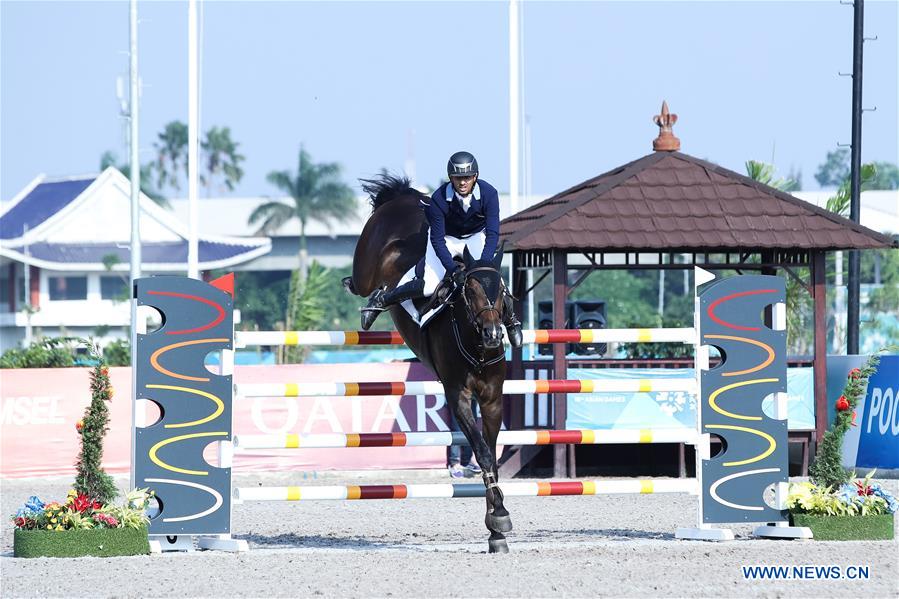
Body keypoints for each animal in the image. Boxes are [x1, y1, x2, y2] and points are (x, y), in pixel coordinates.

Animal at [344, 173, 512, 552]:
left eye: (501, 291)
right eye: (470, 291)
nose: (494, 334)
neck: (475, 340)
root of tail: (403, 196)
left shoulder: (492, 398)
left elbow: (490, 453)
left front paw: (495, 529)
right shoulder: (458, 396)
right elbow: (481, 451)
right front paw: (499, 518)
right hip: (366, 265)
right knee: (364, 284)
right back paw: (373, 304)